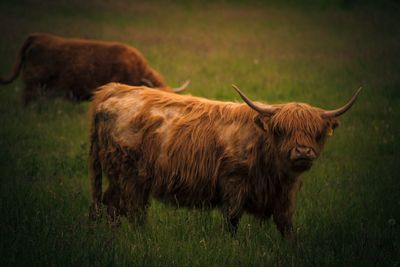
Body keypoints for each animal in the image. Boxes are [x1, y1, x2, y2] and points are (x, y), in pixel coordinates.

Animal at [88, 82, 362, 240]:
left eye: (316, 132)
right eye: (281, 130)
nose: (303, 152)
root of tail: (113, 91)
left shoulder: (285, 193)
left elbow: (286, 224)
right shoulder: (233, 184)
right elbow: (232, 220)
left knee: (113, 206)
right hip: (129, 176)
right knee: (128, 209)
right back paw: (139, 239)